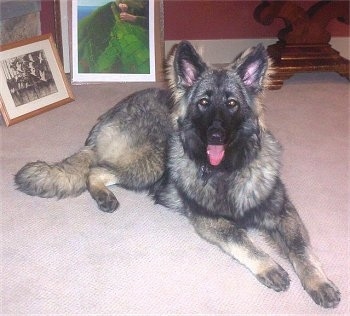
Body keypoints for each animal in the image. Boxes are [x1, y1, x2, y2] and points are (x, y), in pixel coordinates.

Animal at [15, 40, 340, 308]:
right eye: (204, 102)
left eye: (232, 104)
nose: (216, 136)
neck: (227, 170)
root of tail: (110, 114)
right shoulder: (209, 220)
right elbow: (242, 240)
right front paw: (269, 266)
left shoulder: (283, 212)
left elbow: (301, 249)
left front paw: (319, 282)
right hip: (152, 162)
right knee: (95, 170)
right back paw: (104, 197)